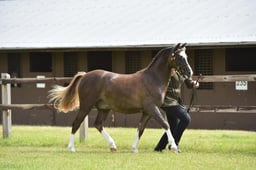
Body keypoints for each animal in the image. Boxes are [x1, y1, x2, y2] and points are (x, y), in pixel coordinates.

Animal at [47, 42, 192, 153]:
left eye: (186, 56)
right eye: (180, 57)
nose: (190, 73)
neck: (152, 79)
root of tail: (85, 75)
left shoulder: (147, 111)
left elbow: (141, 129)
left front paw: (134, 149)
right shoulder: (152, 108)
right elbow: (165, 124)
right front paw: (174, 147)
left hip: (103, 108)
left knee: (98, 124)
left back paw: (113, 146)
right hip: (86, 106)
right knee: (76, 123)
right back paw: (71, 148)